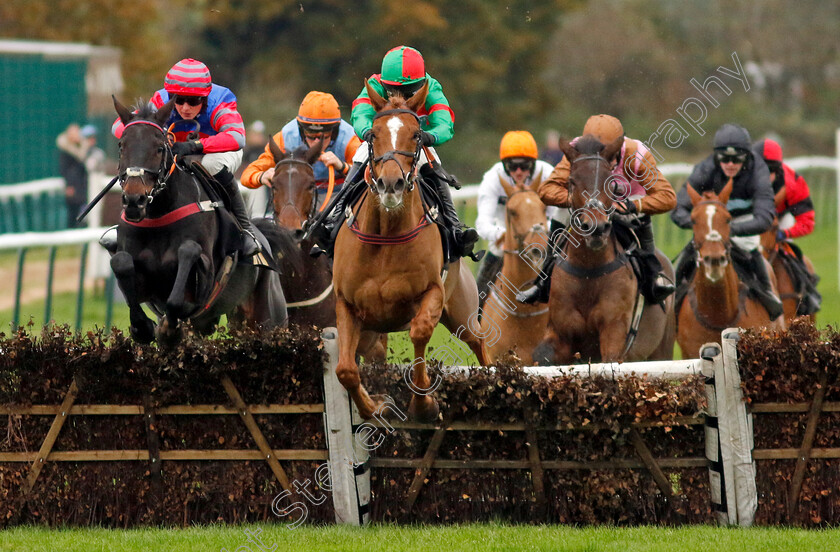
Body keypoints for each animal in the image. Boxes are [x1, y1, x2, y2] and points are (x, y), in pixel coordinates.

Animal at [110, 96, 288, 342]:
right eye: (121, 146)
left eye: (159, 148)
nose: (134, 200)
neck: (159, 216)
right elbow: (121, 262)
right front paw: (143, 327)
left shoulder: (206, 281)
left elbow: (188, 253)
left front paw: (168, 330)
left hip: (268, 318)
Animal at [330, 82, 486, 420]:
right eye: (373, 134)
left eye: (416, 134)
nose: (391, 184)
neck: (386, 236)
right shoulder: (347, 305)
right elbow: (345, 369)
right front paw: (373, 406)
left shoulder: (433, 292)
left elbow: (419, 332)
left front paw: (423, 404)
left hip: (463, 311)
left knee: (481, 347)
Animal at [536, 135, 680, 364]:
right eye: (572, 181)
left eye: (610, 182)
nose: (596, 228)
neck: (588, 269)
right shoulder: (559, 333)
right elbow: (539, 358)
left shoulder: (614, 334)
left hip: (662, 348)